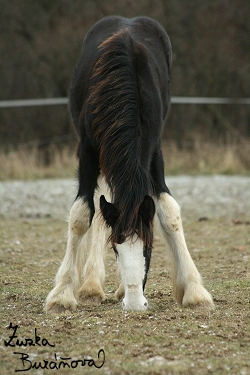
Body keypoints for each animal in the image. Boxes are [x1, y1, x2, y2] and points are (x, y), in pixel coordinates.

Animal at [44, 15, 213, 312]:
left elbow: (169, 213)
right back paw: (92, 285)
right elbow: (81, 216)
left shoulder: (154, 149)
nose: (135, 303)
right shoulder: (87, 150)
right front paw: (62, 294)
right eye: (115, 248)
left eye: (149, 247)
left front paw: (194, 290)